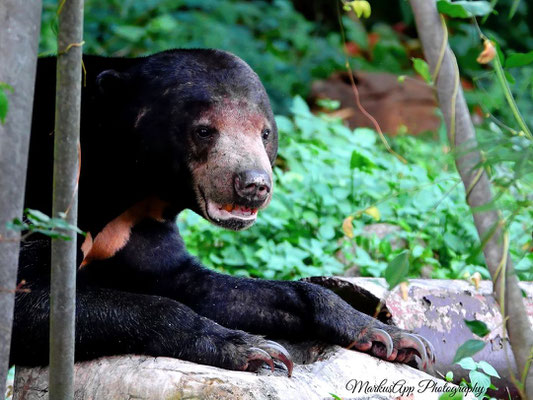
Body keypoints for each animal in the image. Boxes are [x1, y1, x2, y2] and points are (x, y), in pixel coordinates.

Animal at [10, 49, 432, 376]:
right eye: (204, 130)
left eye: (265, 132)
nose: (254, 185)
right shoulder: (42, 190)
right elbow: (28, 301)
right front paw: (250, 348)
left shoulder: (137, 227)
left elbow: (196, 283)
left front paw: (389, 335)